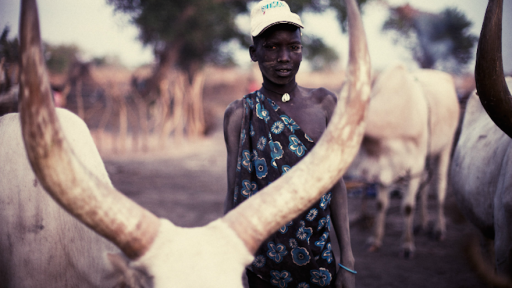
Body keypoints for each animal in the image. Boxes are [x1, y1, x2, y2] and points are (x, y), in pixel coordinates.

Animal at [348, 64, 460, 258]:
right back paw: (422, 223)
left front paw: (407, 245)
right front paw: (375, 239)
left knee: (440, 187)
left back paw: (438, 228)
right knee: (424, 188)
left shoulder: (414, 166)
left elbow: (407, 206)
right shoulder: (383, 167)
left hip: (446, 147)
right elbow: (381, 204)